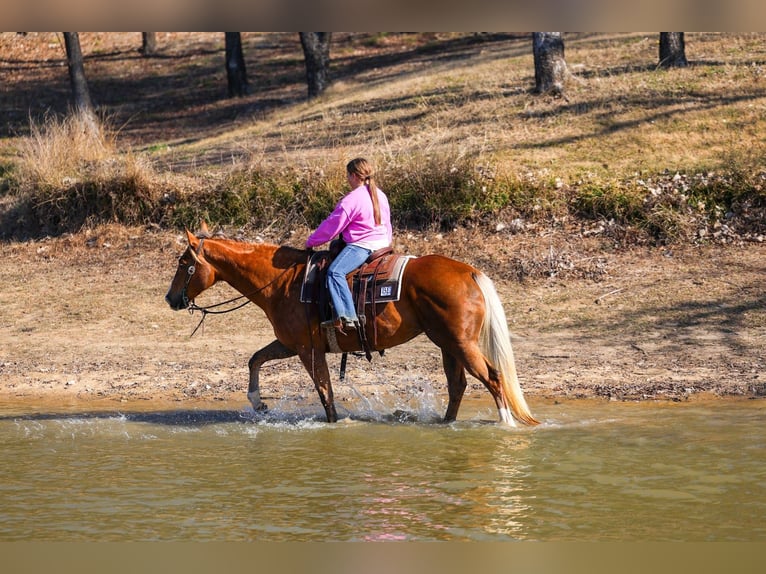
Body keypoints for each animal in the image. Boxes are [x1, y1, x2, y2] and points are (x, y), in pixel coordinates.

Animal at [165, 222, 539, 426]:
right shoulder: (290, 344)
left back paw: (505, 424)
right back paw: (446, 424)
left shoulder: (307, 349)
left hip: (460, 343)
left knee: (492, 377)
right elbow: (255, 359)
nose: (170, 299)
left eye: (184, 263)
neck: (282, 281)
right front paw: (258, 402)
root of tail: (468, 271)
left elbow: (325, 393)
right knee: (458, 384)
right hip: (447, 343)